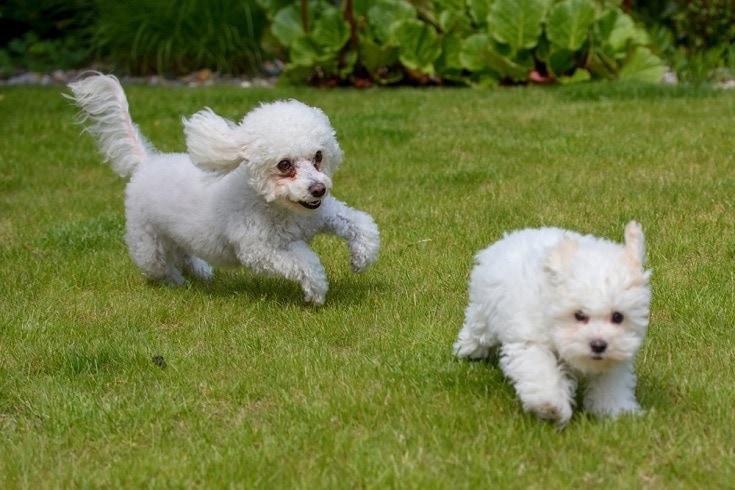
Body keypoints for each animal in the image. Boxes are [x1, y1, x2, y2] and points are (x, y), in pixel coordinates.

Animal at [64, 73, 380, 304]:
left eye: (318, 156)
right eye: (284, 165)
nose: (318, 189)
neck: (278, 207)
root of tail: (147, 162)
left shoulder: (322, 214)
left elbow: (360, 224)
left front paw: (361, 259)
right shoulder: (260, 250)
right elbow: (305, 260)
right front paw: (315, 290)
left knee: (185, 254)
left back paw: (201, 272)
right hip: (148, 242)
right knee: (160, 267)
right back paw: (177, 283)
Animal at [458, 221, 652, 424]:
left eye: (617, 316)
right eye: (579, 315)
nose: (599, 345)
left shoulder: (614, 358)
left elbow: (610, 384)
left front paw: (618, 411)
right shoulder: (532, 341)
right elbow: (542, 370)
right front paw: (550, 405)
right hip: (484, 311)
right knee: (478, 330)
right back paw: (468, 349)